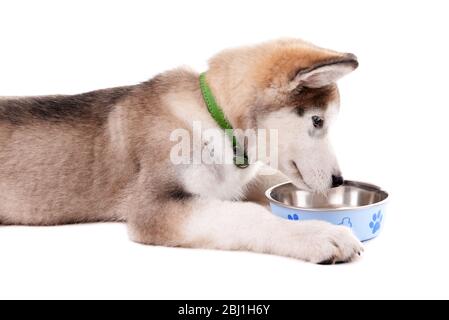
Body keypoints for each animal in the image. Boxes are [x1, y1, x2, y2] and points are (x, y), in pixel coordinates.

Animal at [0, 38, 362, 264]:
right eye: (317, 120)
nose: (337, 181)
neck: (214, 119)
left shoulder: (238, 180)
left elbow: (267, 183)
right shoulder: (153, 207)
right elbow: (248, 215)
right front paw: (319, 233)